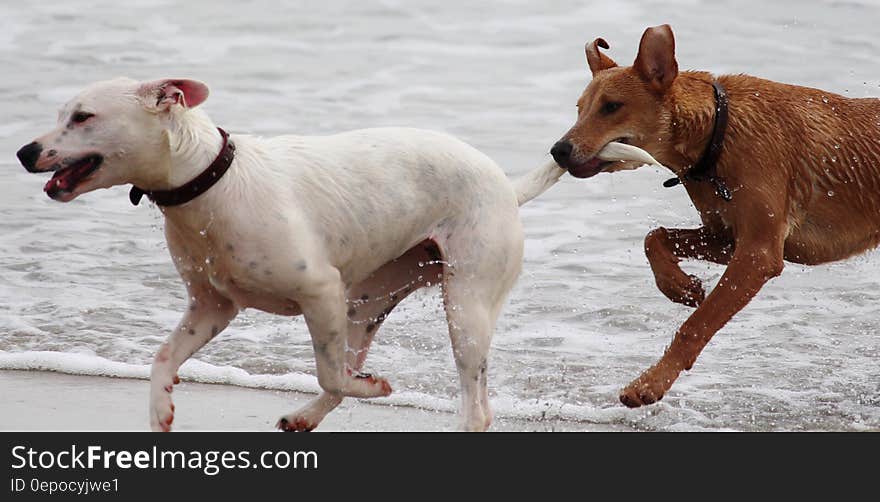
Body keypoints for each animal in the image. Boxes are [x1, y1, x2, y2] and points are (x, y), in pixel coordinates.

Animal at [20, 78, 568, 432]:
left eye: (83, 117)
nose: (25, 152)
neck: (211, 182)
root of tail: (506, 186)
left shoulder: (319, 292)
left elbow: (331, 372)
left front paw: (374, 389)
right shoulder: (211, 308)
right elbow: (162, 358)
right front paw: (159, 410)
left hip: (465, 306)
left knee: (473, 407)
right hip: (366, 301)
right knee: (348, 364)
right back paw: (304, 417)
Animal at [552, 24, 880, 408]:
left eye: (611, 106)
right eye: (579, 109)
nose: (558, 151)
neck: (717, 134)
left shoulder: (759, 254)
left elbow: (697, 324)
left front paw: (650, 383)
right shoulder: (726, 237)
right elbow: (654, 237)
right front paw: (680, 286)